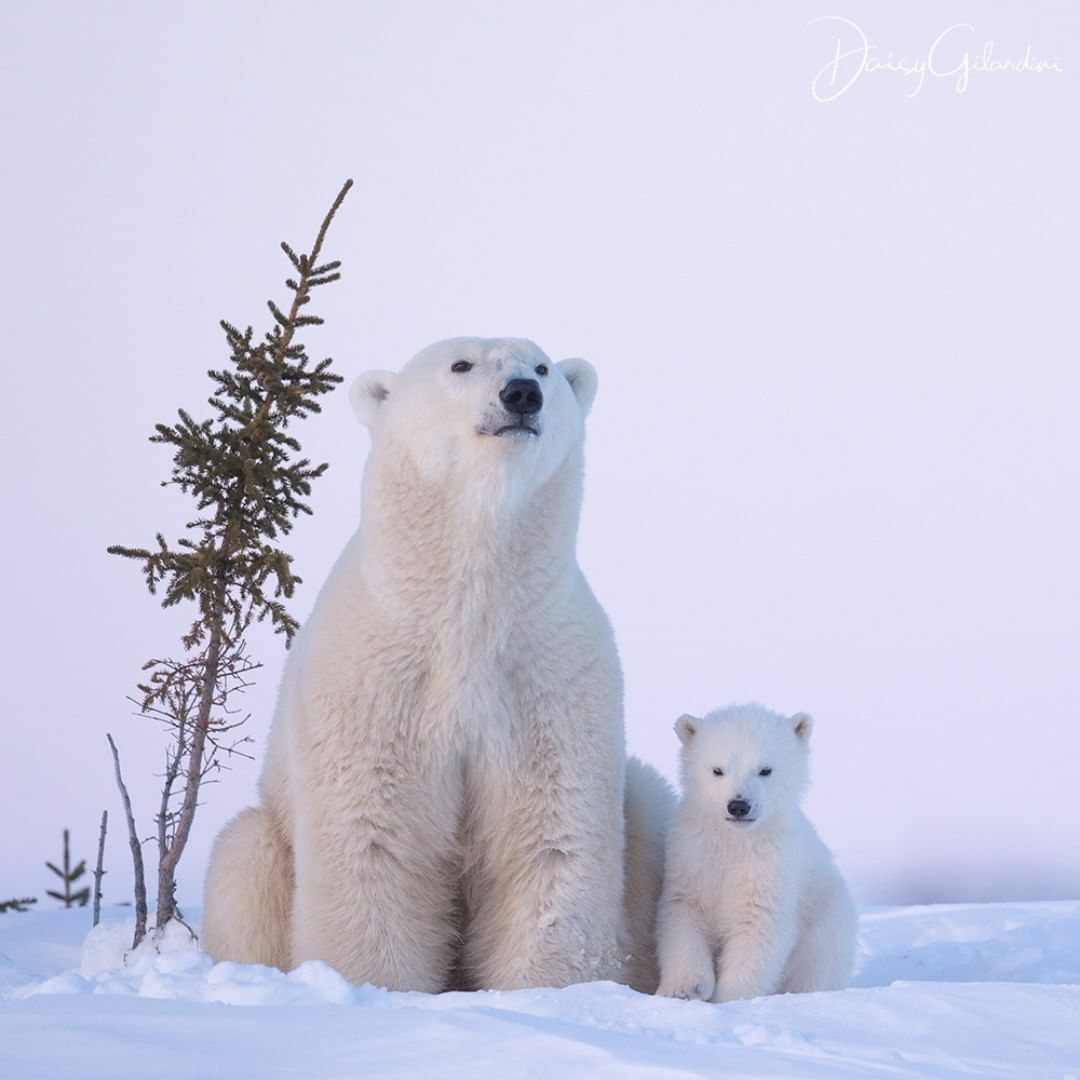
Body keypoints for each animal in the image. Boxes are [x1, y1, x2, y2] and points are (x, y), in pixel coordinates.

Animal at [203, 334, 669, 989]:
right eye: (461, 364)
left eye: (544, 366)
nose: (521, 393)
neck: (465, 610)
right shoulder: (377, 681)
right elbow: (374, 839)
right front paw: (372, 982)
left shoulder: (550, 678)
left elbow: (550, 840)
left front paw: (548, 991)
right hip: (265, 837)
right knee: (243, 863)